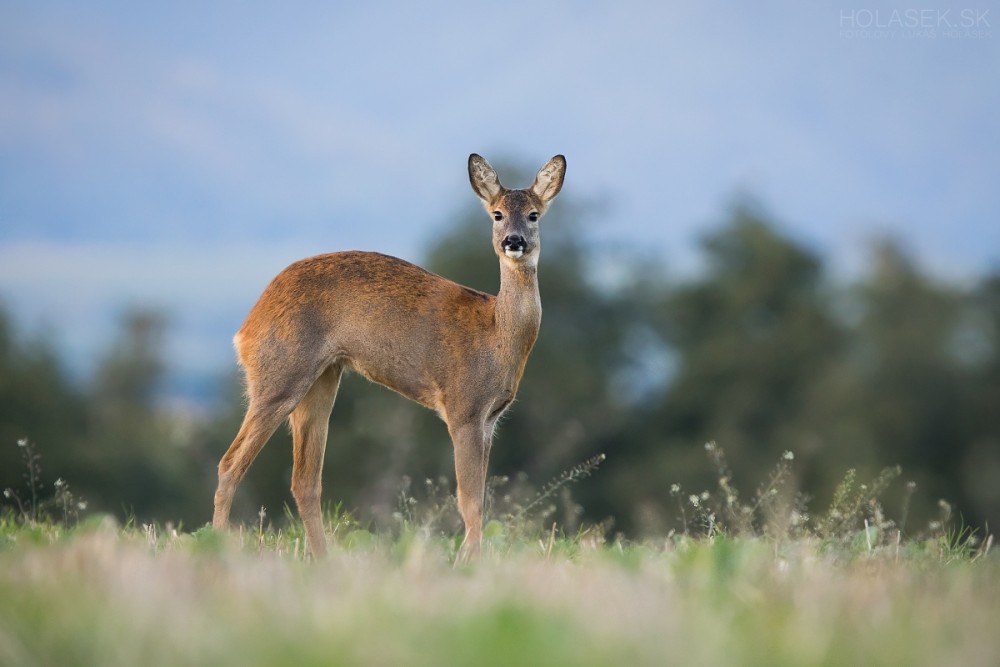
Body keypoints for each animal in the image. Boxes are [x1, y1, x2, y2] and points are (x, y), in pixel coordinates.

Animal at [212, 154, 568, 560]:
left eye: (534, 214)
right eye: (497, 214)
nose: (514, 241)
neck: (496, 333)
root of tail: (246, 327)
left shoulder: (490, 419)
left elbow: (480, 497)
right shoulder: (463, 407)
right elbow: (470, 500)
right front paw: (468, 562)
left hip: (323, 379)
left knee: (304, 479)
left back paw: (324, 559)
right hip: (280, 374)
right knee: (231, 463)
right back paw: (218, 545)